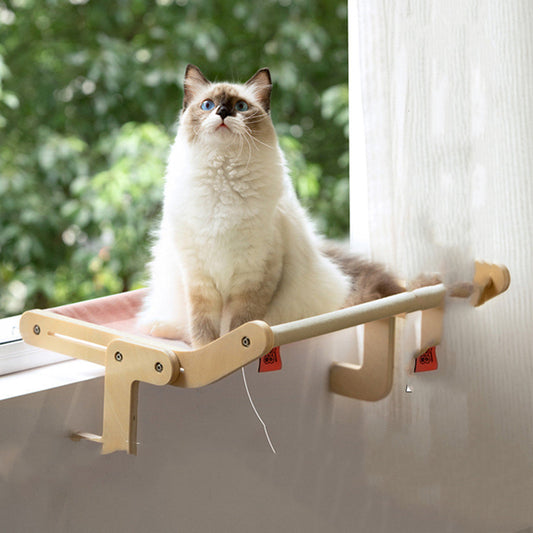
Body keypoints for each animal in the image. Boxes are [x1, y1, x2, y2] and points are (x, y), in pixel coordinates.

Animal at [138, 64, 404, 348]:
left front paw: (234, 346)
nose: (223, 112)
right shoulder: (199, 277)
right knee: (178, 326)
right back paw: (160, 328)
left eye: (241, 106)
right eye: (207, 105)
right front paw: (205, 349)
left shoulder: (255, 275)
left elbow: (239, 326)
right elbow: (204, 330)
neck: (223, 184)